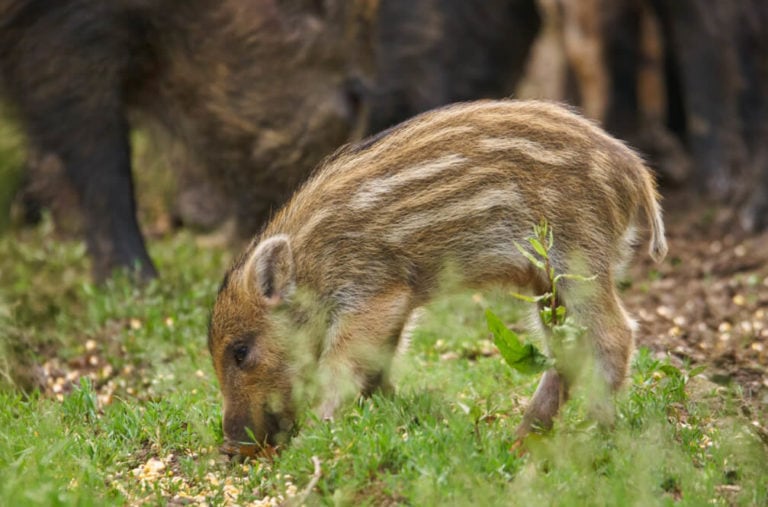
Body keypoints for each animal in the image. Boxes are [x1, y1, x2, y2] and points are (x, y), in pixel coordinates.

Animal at [208, 99, 668, 452]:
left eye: (241, 352)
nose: (231, 445)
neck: (313, 266)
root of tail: (636, 175)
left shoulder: (375, 293)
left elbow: (341, 365)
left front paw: (320, 434)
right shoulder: (398, 305)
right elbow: (378, 367)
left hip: (580, 261)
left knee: (615, 334)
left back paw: (594, 432)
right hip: (546, 285)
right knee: (568, 352)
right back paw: (521, 438)